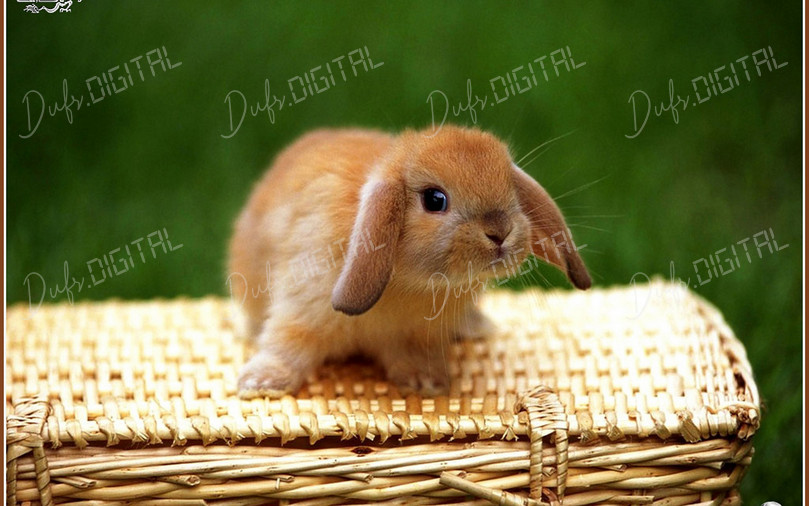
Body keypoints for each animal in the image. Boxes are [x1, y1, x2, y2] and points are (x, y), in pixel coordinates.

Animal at [228, 125, 591, 397]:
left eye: (511, 191)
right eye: (435, 199)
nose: (500, 232)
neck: (408, 281)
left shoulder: (418, 335)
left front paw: (426, 384)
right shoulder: (302, 307)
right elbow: (287, 344)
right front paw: (260, 383)